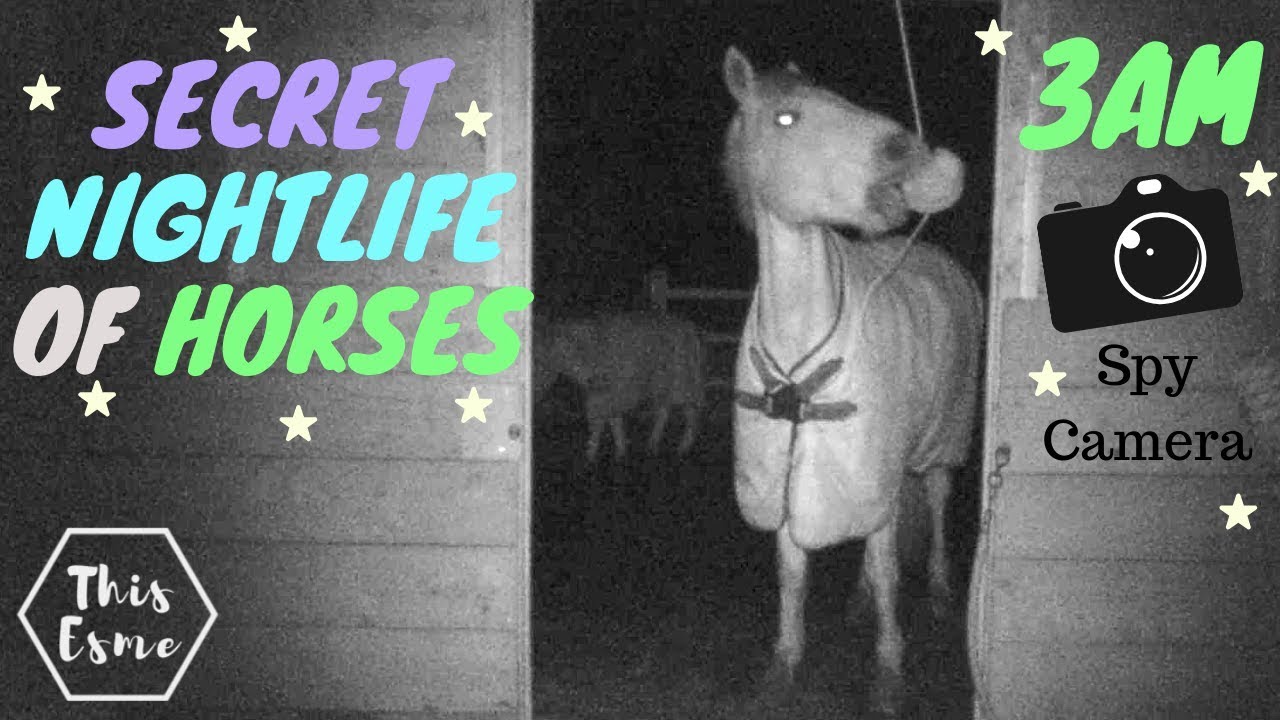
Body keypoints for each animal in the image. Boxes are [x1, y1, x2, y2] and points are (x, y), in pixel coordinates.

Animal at [534, 309, 706, 464]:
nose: (589, 377)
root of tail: (688, 328)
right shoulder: (607, 391)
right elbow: (613, 419)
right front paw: (620, 449)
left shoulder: (607, 389)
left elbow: (599, 420)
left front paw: (591, 453)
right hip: (661, 381)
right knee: (664, 409)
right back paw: (653, 443)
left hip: (681, 378)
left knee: (691, 410)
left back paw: (684, 445)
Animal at [721, 46, 983, 715]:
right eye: (787, 117)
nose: (905, 150)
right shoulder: (787, 480)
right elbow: (792, 576)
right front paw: (783, 665)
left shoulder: (873, 470)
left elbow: (890, 572)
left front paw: (889, 674)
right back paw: (860, 603)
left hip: (937, 441)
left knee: (935, 503)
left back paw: (939, 589)